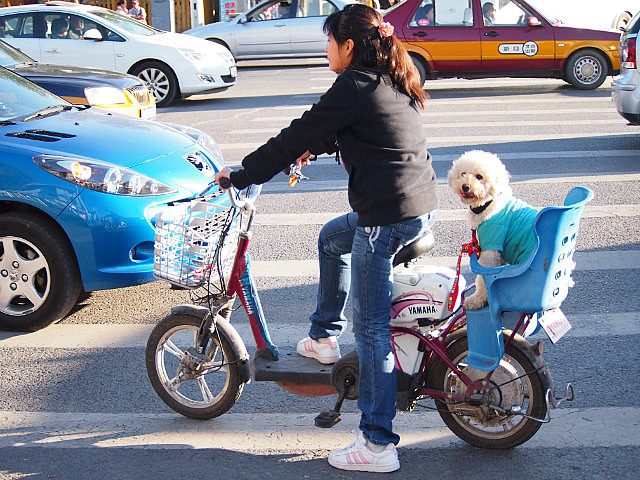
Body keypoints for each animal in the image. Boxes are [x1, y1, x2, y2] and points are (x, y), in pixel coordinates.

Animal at [447, 150, 539, 310]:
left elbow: (483, 281)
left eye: (479, 176)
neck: (487, 204)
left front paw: (477, 300)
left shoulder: (490, 248)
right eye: (463, 173)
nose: (465, 186)